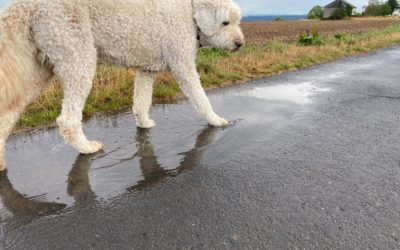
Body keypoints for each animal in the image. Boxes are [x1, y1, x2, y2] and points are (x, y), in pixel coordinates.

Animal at [0, 0, 244, 171]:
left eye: (236, 21)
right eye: (226, 22)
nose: (240, 44)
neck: (190, 12)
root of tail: (26, 6)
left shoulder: (147, 71)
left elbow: (142, 103)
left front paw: (144, 124)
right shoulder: (182, 64)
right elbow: (201, 98)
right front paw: (217, 120)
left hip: (39, 71)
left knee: (9, 113)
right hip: (78, 56)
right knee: (68, 120)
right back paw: (87, 147)